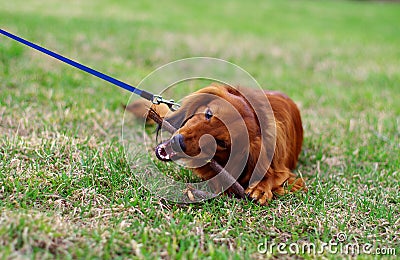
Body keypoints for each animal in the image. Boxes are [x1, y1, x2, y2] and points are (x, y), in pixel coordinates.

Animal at [126, 84, 306, 204]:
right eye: (208, 113)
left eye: (221, 143)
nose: (178, 142)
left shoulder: (281, 169)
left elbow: (275, 176)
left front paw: (260, 189)